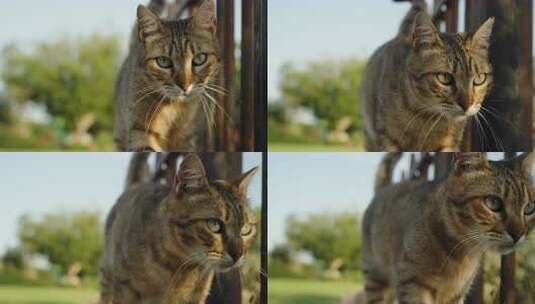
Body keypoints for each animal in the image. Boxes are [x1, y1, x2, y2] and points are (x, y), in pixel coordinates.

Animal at [114, 0, 221, 151]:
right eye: (163, 61)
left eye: (199, 59)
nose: (185, 86)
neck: (174, 109)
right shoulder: (139, 132)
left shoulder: (188, 139)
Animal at [362, 0, 496, 151]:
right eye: (445, 78)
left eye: (479, 79)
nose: (467, 105)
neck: (425, 116)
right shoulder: (387, 138)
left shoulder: (448, 144)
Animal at [364, 153, 535, 302]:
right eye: (493, 202)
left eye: (529, 208)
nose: (518, 234)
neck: (460, 256)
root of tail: (384, 189)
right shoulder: (412, 283)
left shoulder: (456, 294)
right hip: (375, 279)